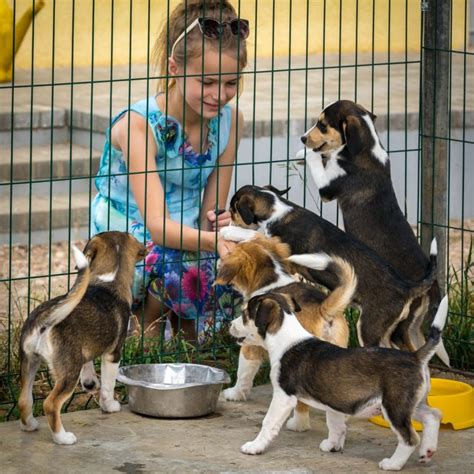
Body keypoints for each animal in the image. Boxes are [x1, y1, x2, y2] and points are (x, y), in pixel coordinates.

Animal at [18, 231, 146, 446]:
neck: (108, 281)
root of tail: (46, 317)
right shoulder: (113, 354)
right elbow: (108, 385)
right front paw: (109, 405)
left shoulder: (85, 350)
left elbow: (90, 368)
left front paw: (90, 384)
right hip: (69, 371)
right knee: (50, 404)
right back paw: (62, 438)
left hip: (30, 361)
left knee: (24, 400)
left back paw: (30, 425)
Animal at [217, 235, 354, 432]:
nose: (219, 260)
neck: (271, 280)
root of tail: (323, 309)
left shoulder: (251, 348)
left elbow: (243, 373)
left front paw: (235, 394)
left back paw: (297, 424)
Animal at [221, 185, 436, 348]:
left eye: (232, 210)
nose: (228, 219)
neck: (277, 209)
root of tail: (405, 287)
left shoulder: (282, 247)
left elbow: (255, 235)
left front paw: (228, 231)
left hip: (369, 328)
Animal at [298, 98, 446, 362]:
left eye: (323, 124)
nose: (303, 138)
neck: (365, 147)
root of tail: (430, 286)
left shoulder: (328, 187)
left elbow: (318, 160)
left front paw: (305, 153)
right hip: (409, 327)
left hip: (392, 327)